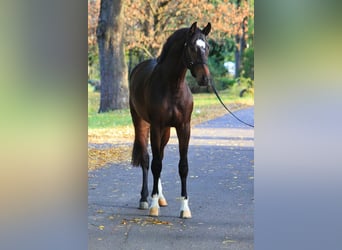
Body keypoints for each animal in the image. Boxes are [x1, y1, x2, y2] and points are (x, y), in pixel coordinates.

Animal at [129, 22, 211, 219]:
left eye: (207, 48)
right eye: (192, 47)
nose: (205, 78)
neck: (173, 87)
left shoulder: (184, 128)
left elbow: (183, 166)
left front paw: (184, 208)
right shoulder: (156, 126)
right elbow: (156, 164)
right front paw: (153, 206)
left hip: (166, 131)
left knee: (160, 155)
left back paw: (160, 197)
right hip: (141, 123)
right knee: (147, 159)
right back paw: (145, 198)